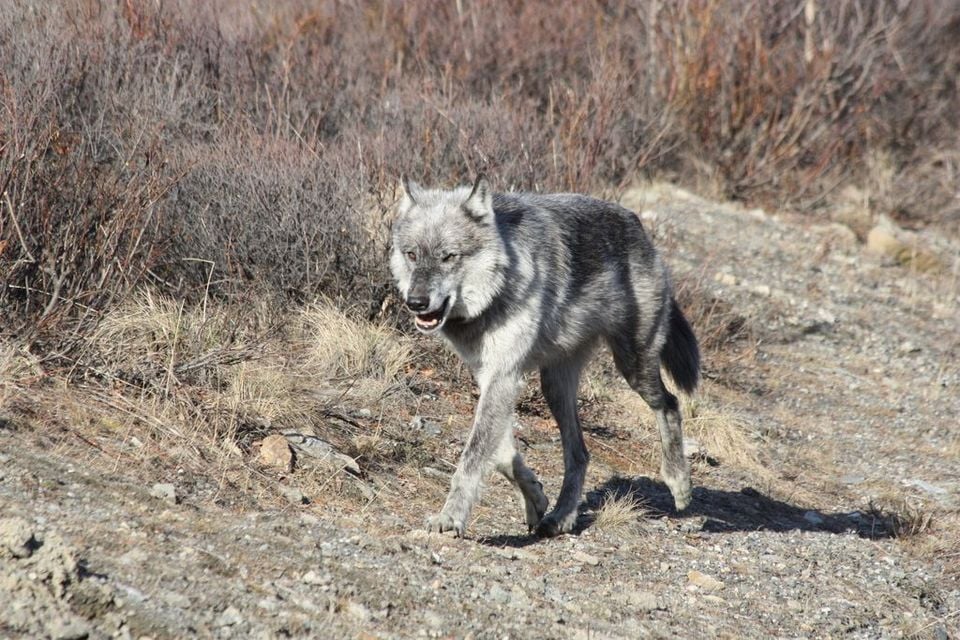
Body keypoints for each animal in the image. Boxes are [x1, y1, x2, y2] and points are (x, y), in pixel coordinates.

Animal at [390, 175, 700, 537]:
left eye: (448, 257)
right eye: (412, 254)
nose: (416, 302)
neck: (499, 287)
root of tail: (638, 225)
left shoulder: (504, 377)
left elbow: (473, 455)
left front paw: (450, 518)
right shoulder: (491, 377)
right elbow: (500, 453)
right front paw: (535, 499)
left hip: (633, 365)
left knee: (670, 403)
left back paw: (679, 483)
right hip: (555, 387)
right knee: (580, 453)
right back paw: (561, 517)